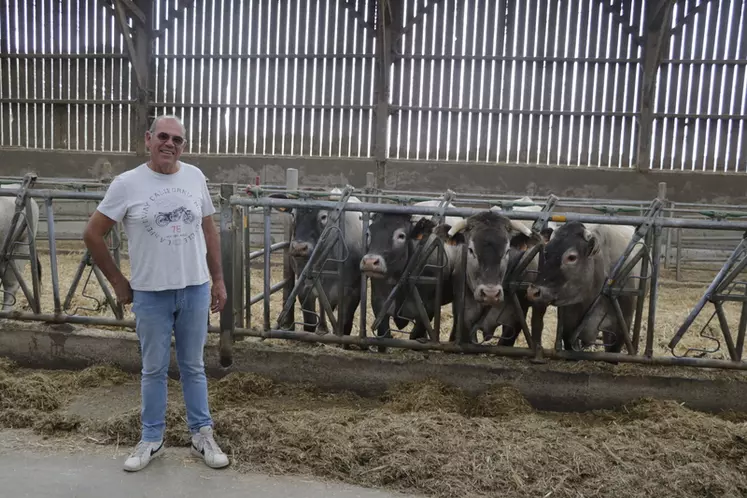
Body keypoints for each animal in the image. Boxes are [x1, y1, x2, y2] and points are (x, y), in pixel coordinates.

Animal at [268, 187, 366, 338]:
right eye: (293, 214)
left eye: (323, 216)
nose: (299, 247)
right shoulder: (304, 287)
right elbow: (309, 323)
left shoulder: (353, 292)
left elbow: (344, 327)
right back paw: (322, 327)